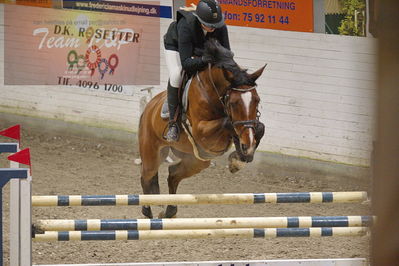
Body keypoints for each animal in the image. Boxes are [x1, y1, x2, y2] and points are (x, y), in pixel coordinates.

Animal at [138, 39, 266, 218]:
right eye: (234, 103)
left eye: (257, 100)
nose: (247, 141)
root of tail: (149, 106)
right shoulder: (202, 131)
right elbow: (227, 122)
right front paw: (239, 157)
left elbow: (260, 127)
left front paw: (240, 157)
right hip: (151, 152)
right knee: (146, 176)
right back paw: (147, 210)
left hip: (197, 161)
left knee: (173, 174)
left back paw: (169, 210)